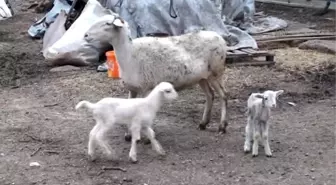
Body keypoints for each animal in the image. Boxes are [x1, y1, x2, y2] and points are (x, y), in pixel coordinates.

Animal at [83, 12, 230, 137]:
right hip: (202, 77)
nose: (85, 35)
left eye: (107, 24)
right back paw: (203, 123)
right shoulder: (132, 89)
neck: (130, 54)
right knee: (210, 95)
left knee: (223, 95)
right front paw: (129, 135)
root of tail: (220, 38)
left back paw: (222, 127)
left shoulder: (147, 87)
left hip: (216, 72)